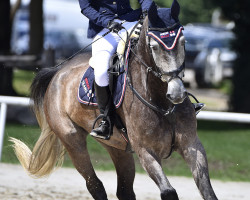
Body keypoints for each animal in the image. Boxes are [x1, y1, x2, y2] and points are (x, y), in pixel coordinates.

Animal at [10, 0, 218, 199]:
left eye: (183, 42)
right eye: (154, 47)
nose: (176, 94)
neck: (161, 101)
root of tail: (57, 72)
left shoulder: (191, 145)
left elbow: (208, 191)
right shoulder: (146, 151)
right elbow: (168, 192)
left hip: (117, 147)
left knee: (124, 191)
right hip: (72, 140)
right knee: (94, 185)